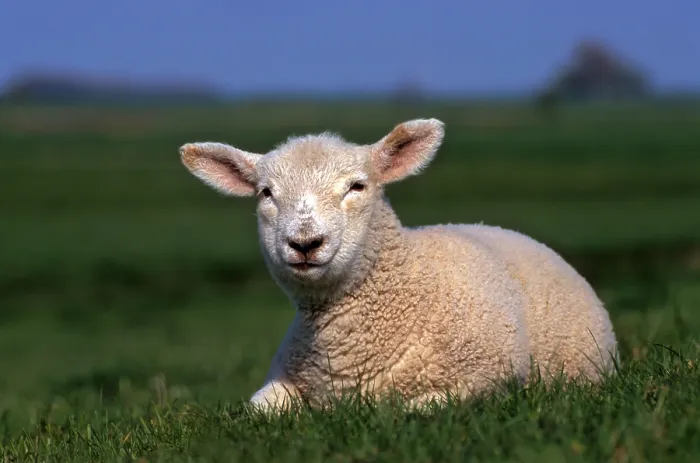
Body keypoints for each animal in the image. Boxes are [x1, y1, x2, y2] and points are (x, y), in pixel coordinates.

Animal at [179, 118, 619, 412]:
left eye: (357, 186)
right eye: (266, 193)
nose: (305, 243)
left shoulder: (486, 381)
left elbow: (412, 410)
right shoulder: (281, 383)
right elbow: (254, 412)